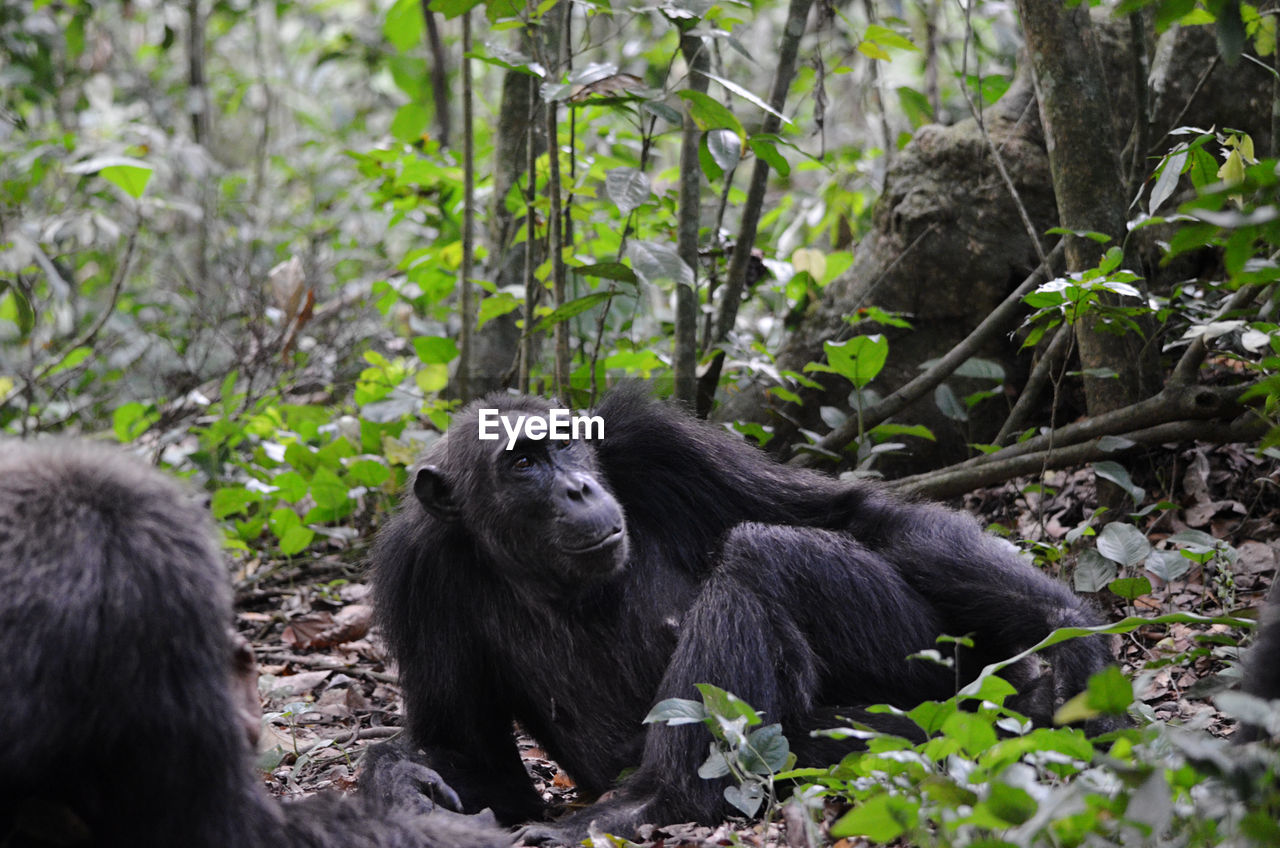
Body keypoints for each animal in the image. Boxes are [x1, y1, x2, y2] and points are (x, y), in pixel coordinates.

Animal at [363, 389, 1121, 845]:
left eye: (565, 443)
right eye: (521, 461)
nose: (576, 486)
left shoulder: (662, 445)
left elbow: (852, 515)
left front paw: (1073, 644)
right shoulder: (412, 574)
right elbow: (475, 759)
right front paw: (403, 783)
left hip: (931, 682)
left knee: (767, 551)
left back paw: (651, 804)